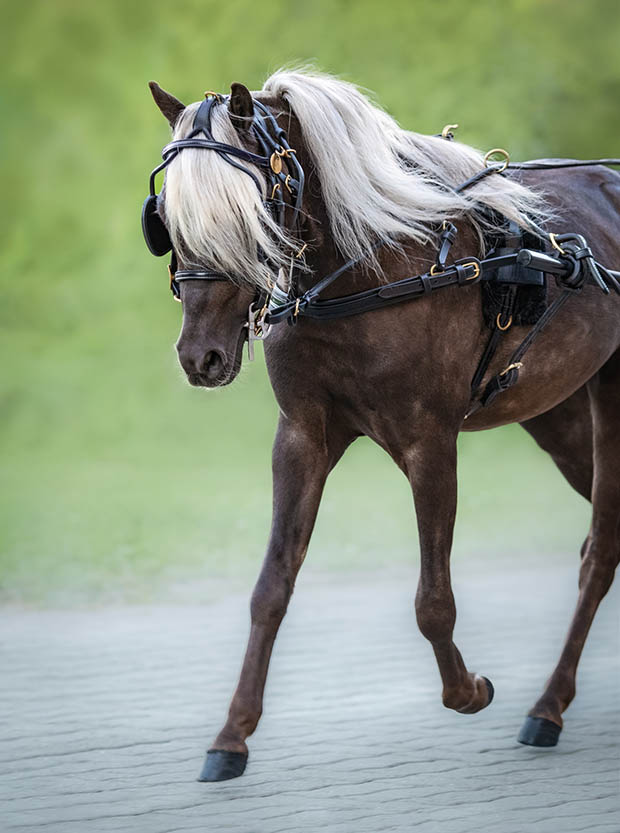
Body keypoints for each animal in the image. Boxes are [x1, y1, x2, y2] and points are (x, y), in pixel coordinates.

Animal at [142, 70, 620, 780]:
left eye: (244, 214)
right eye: (168, 218)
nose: (200, 356)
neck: (372, 269)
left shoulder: (429, 443)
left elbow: (433, 603)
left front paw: (468, 691)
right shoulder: (302, 437)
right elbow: (271, 588)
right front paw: (232, 737)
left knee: (602, 550)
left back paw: (548, 704)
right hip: (558, 417)